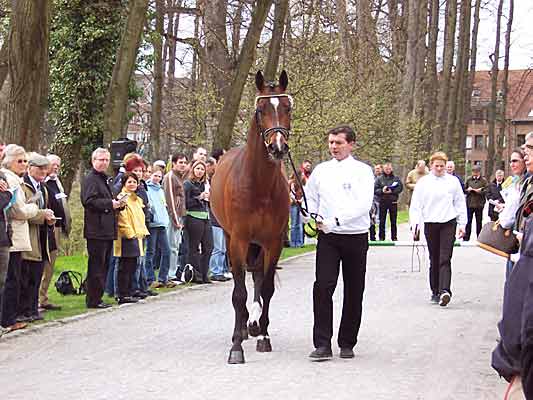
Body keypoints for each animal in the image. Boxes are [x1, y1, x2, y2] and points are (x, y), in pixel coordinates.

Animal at [209, 70, 290, 364]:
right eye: (261, 109)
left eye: (287, 107)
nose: (278, 147)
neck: (258, 184)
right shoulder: (238, 240)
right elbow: (238, 292)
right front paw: (236, 345)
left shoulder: (273, 242)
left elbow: (265, 288)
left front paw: (264, 335)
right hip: (232, 238)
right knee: (241, 282)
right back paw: (243, 327)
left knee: (256, 277)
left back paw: (254, 325)